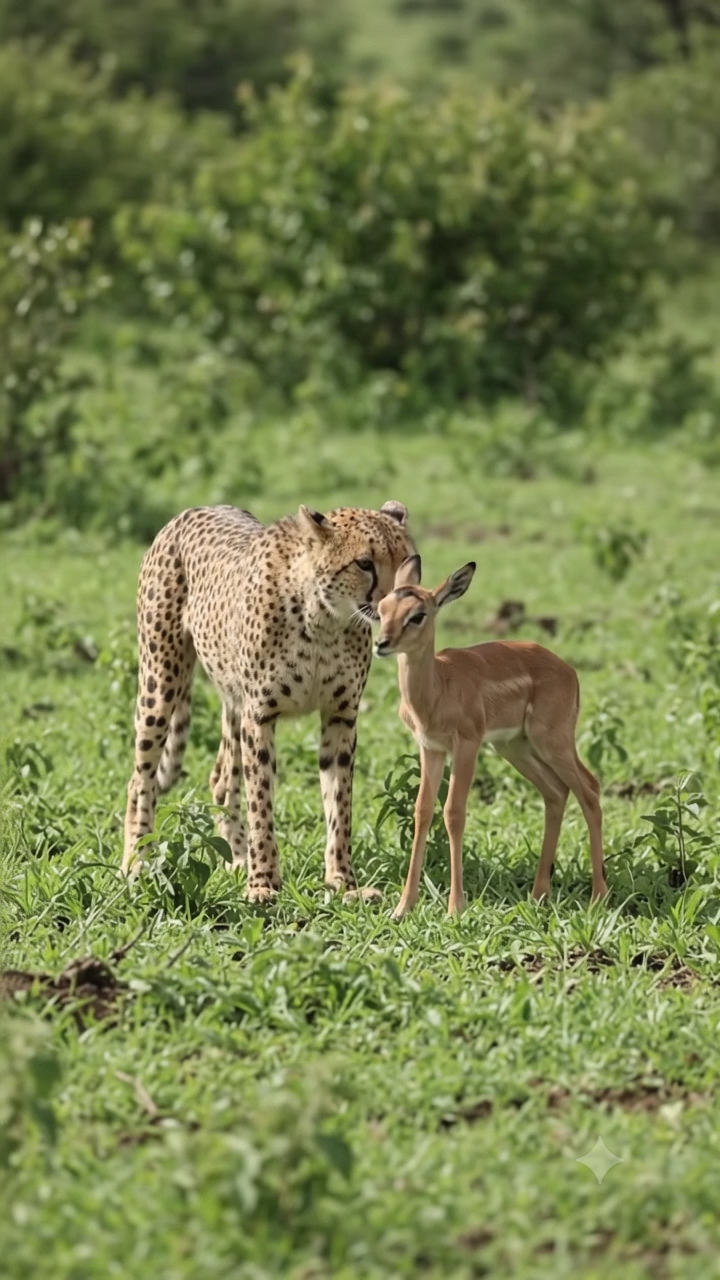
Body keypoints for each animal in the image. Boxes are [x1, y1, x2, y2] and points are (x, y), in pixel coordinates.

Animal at [122, 500, 415, 901]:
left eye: (406, 562)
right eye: (364, 563)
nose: (392, 604)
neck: (324, 619)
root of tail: (198, 507)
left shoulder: (340, 716)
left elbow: (340, 805)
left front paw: (343, 882)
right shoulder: (259, 715)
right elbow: (260, 801)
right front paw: (262, 883)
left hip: (231, 699)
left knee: (220, 777)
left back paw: (236, 857)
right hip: (161, 681)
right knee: (141, 779)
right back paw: (136, 862)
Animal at [375, 556, 607, 918]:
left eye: (418, 614)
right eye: (382, 608)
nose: (382, 643)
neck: (439, 686)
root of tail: (568, 670)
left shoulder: (467, 745)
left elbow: (454, 812)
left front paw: (456, 906)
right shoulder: (431, 748)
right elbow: (422, 811)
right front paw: (403, 907)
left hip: (552, 741)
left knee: (590, 789)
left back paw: (598, 896)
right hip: (514, 747)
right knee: (556, 793)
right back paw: (539, 894)